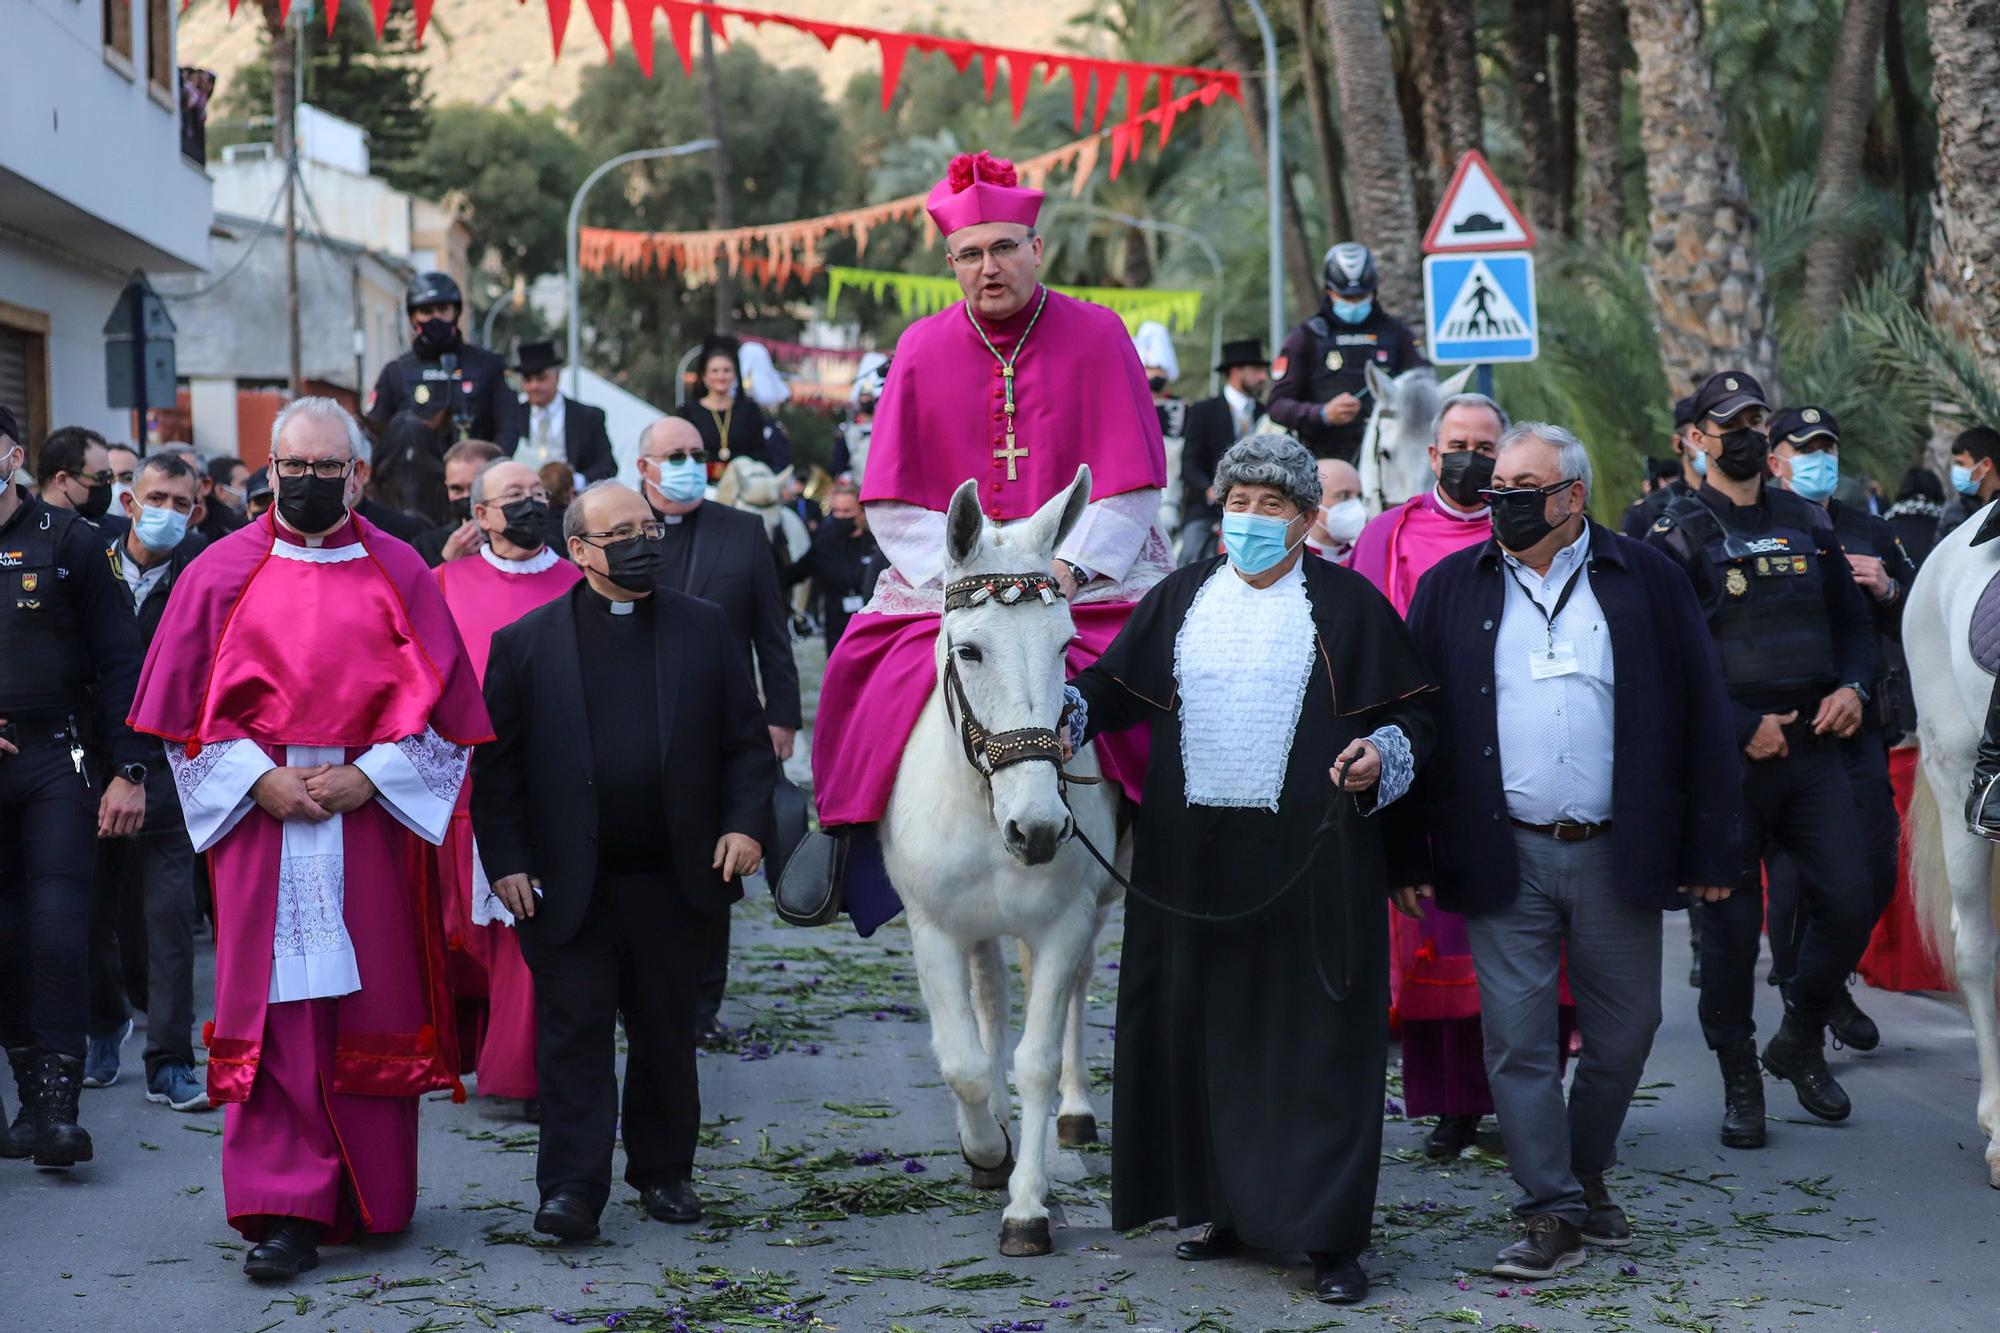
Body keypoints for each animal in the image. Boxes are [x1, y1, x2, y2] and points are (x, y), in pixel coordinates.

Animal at [880, 462, 1128, 1248]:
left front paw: (1027, 1204)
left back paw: (1075, 1113)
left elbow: (1037, 1060)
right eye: (970, 650)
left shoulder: (1064, 922)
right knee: (988, 999)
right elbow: (963, 1060)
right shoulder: (932, 927)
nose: (1041, 829)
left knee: (1076, 990)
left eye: (1067, 644)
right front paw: (986, 1149)